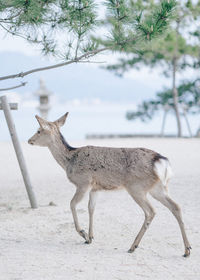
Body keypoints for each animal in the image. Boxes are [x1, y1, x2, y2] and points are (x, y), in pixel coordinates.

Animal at [28, 112, 192, 258]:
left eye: (38, 130)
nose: (29, 140)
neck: (69, 160)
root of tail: (161, 161)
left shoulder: (83, 182)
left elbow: (72, 204)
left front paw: (83, 234)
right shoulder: (95, 188)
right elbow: (91, 208)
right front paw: (90, 238)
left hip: (137, 187)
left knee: (151, 211)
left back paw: (133, 246)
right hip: (158, 188)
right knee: (176, 206)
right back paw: (187, 250)